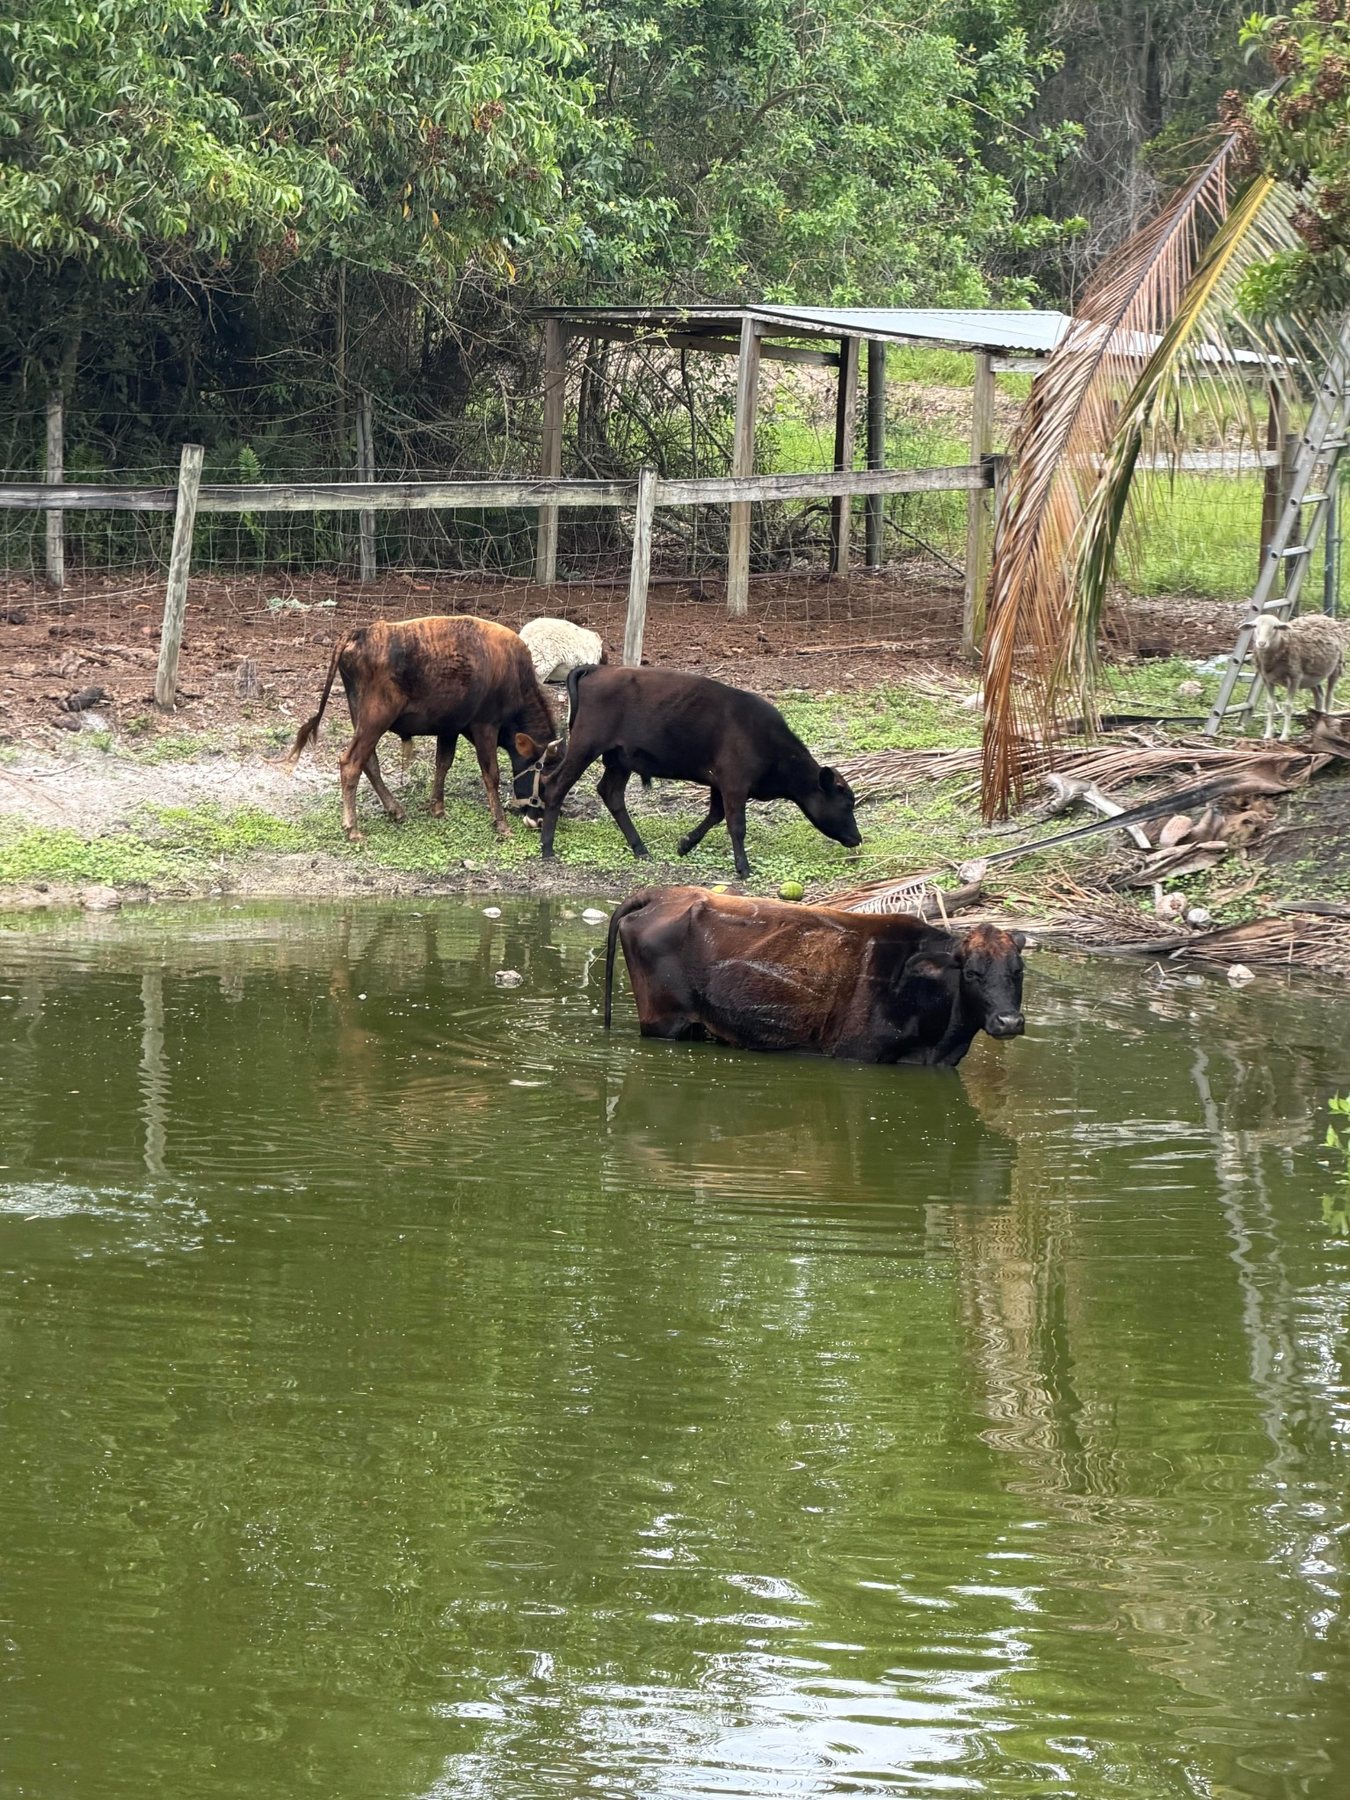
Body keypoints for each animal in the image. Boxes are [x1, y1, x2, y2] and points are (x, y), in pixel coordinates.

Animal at [287, 616, 561, 841]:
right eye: (545, 779)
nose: (537, 820)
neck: (514, 674)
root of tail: (362, 632)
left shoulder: (450, 728)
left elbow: (443, 764)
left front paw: (437, 807)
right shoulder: (486, 726)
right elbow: (491, 774)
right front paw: (501, 824)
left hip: (361, 719)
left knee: (369, 763)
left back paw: (395, 809)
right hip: (375, 720)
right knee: (351, 763)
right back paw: (353, 828)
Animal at [536, 665, 861, 877]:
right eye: (847, 803)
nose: (857, 838)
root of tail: (595, 669)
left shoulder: (719, 782)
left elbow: (715, 815)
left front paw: (685, 844)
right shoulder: (734, 782)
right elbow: (736, 825)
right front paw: (743, 867)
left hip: (619, 758)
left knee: (611, 793)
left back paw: (640, 847)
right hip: (585, 747)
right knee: (556, 785)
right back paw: (548, 848)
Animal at [603, 885, 1026, 1067]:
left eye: (1018, 971)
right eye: (971, 972)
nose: (1009, 1021)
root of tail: (661, 894)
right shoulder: (858, 1055)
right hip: (663, 1023)